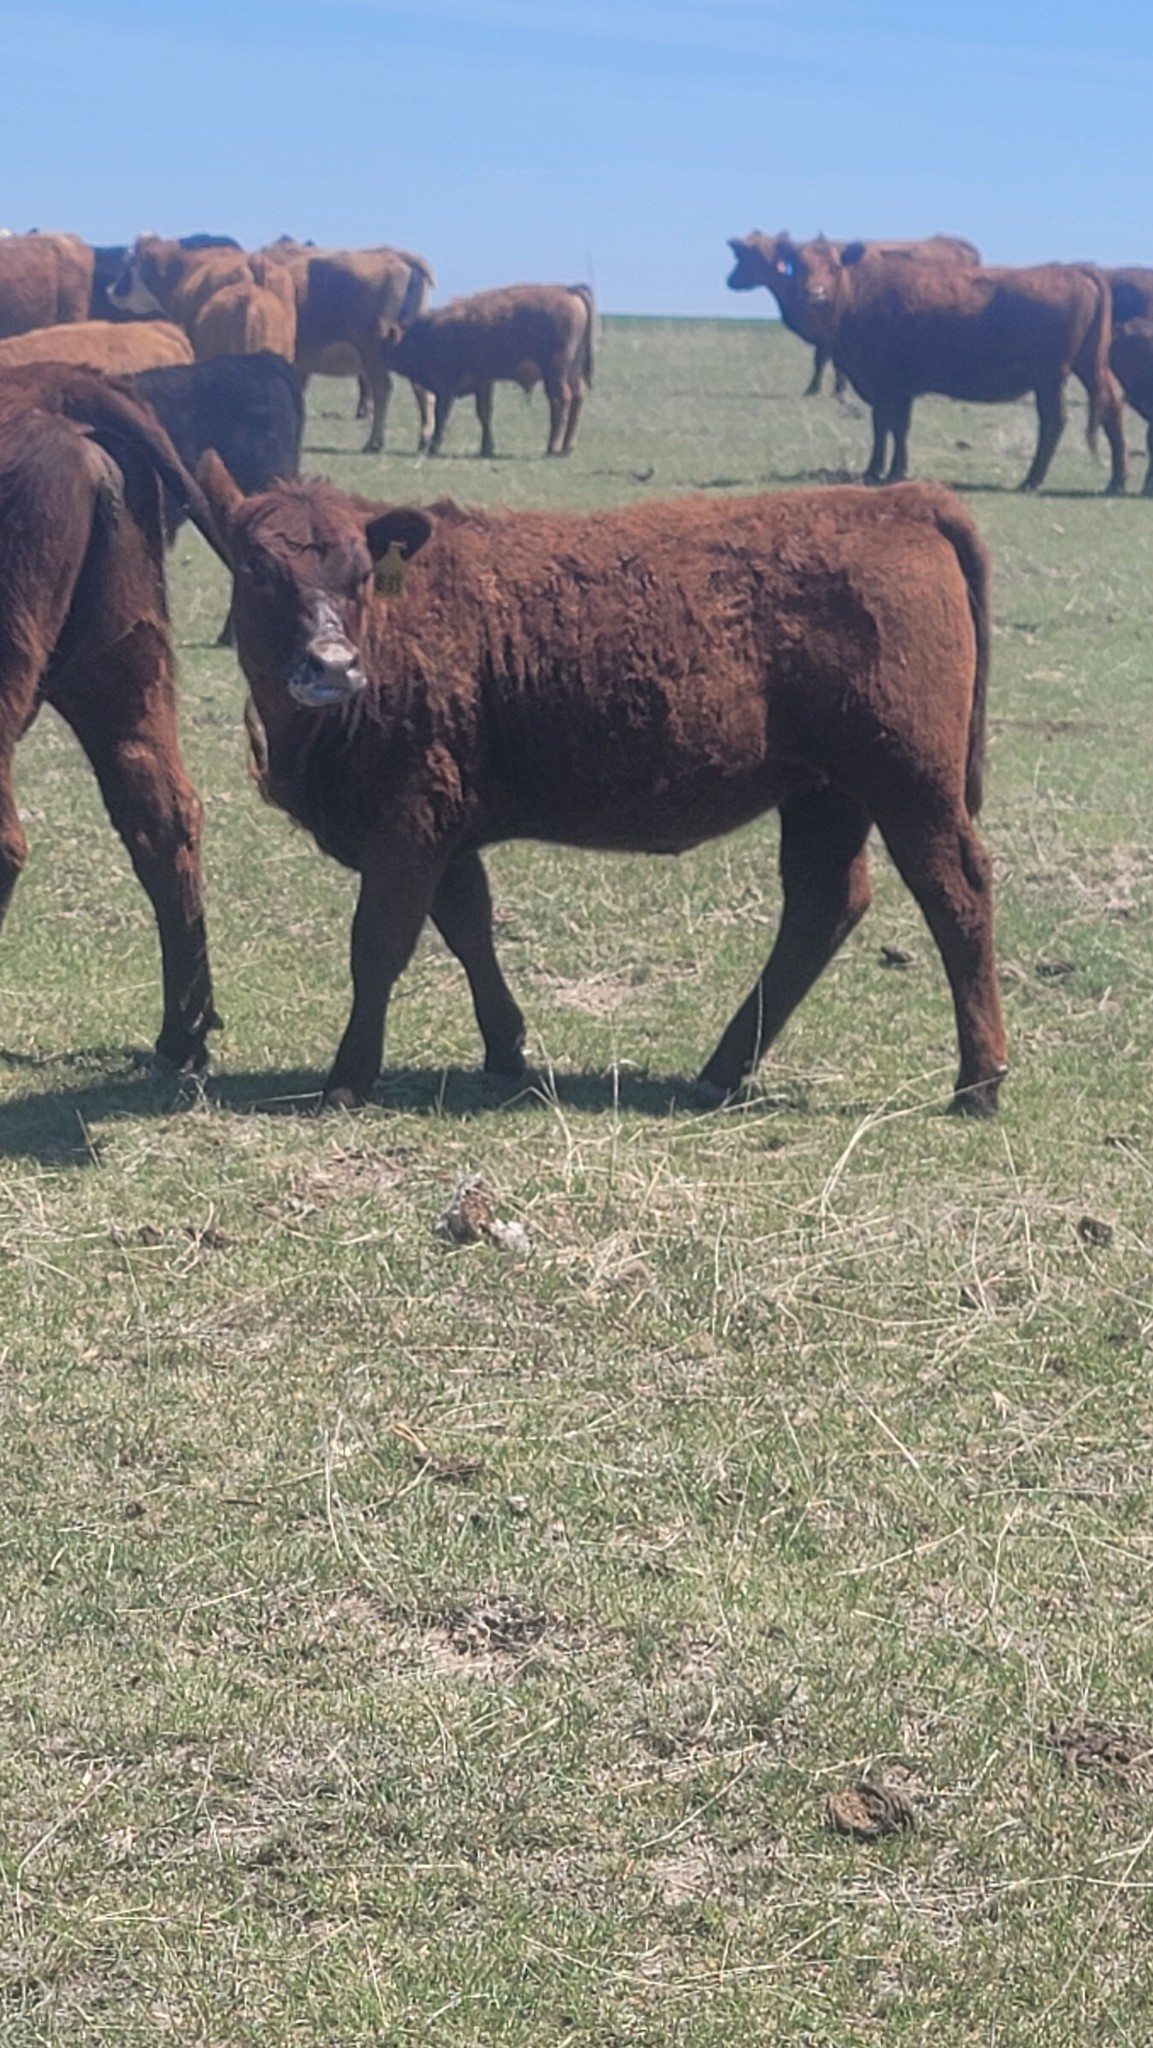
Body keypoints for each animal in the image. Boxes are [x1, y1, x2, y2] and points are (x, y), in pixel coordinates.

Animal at [196, 461, 1007, 1117]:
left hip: (910, 788)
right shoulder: (444, 832)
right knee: (822, 907)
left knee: (955, 895)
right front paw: (506, 1050)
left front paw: (345, 1080)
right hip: (825, 796)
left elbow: (380, 944)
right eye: (255, 568)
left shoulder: (408, 824)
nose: (331, 664)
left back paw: (977, 1083)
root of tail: (904, 502)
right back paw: (720, 1072)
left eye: (363, 570)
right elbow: (468, 927)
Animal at [262, 240, 435, 453]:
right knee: (421, 390)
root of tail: (395, 255)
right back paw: (423, 440)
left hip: (372, 349)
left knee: (382, 387)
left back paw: (374, 442)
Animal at [388, 283, 595, 458]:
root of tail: (569, 290)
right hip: (572, 372)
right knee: (578, 397)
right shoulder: (483, 384)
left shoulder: (446, 388)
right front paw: (487, 448)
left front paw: (434, 448)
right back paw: (567, 447)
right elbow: (484, 414)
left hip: (556, 375)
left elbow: (442, 415)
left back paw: (553, 447)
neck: (428, 333)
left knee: (561, 400)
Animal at [726, 233, 980, 394]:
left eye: (748, 255)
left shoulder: (829, 335)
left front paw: (820, 389)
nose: (730, 280)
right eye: (800, 265)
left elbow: (824, 360)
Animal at [778, 240, 1126, 492]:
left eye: (835, 267)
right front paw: (891, 470)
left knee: (1054, 421)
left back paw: (1032, 480)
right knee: (1112, 407)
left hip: (1050, 378)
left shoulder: (888, 385)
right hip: (1090, 366)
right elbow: (895, 427)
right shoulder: (898, 389)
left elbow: (887, 425)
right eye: (800, 267)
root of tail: (1074, 270)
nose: (815, 294)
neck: (860, 298)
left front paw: (880, 471)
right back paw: (1116, 481)